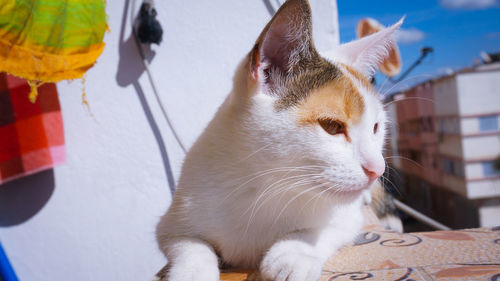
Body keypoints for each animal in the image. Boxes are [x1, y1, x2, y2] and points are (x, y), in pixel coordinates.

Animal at [155, 1, 402, 278]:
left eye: (376, 128)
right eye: (332, 126)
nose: (377, 169)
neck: (264, 184)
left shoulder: (346, 218)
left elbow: (322, 230)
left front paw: (291, 256)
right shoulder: (172, 222)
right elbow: (190, 245)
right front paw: (192, 272)